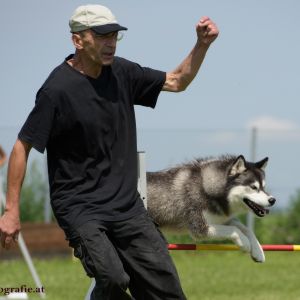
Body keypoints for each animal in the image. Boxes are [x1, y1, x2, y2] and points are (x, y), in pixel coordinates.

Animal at [146, 155, 276, 262]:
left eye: (263, 187)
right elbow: (234, 230)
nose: (273, 200)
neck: (206, 187)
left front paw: (258, 251)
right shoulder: (200, 228)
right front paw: (245, 243)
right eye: (253, 187)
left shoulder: (221, 218)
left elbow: (246, 229)